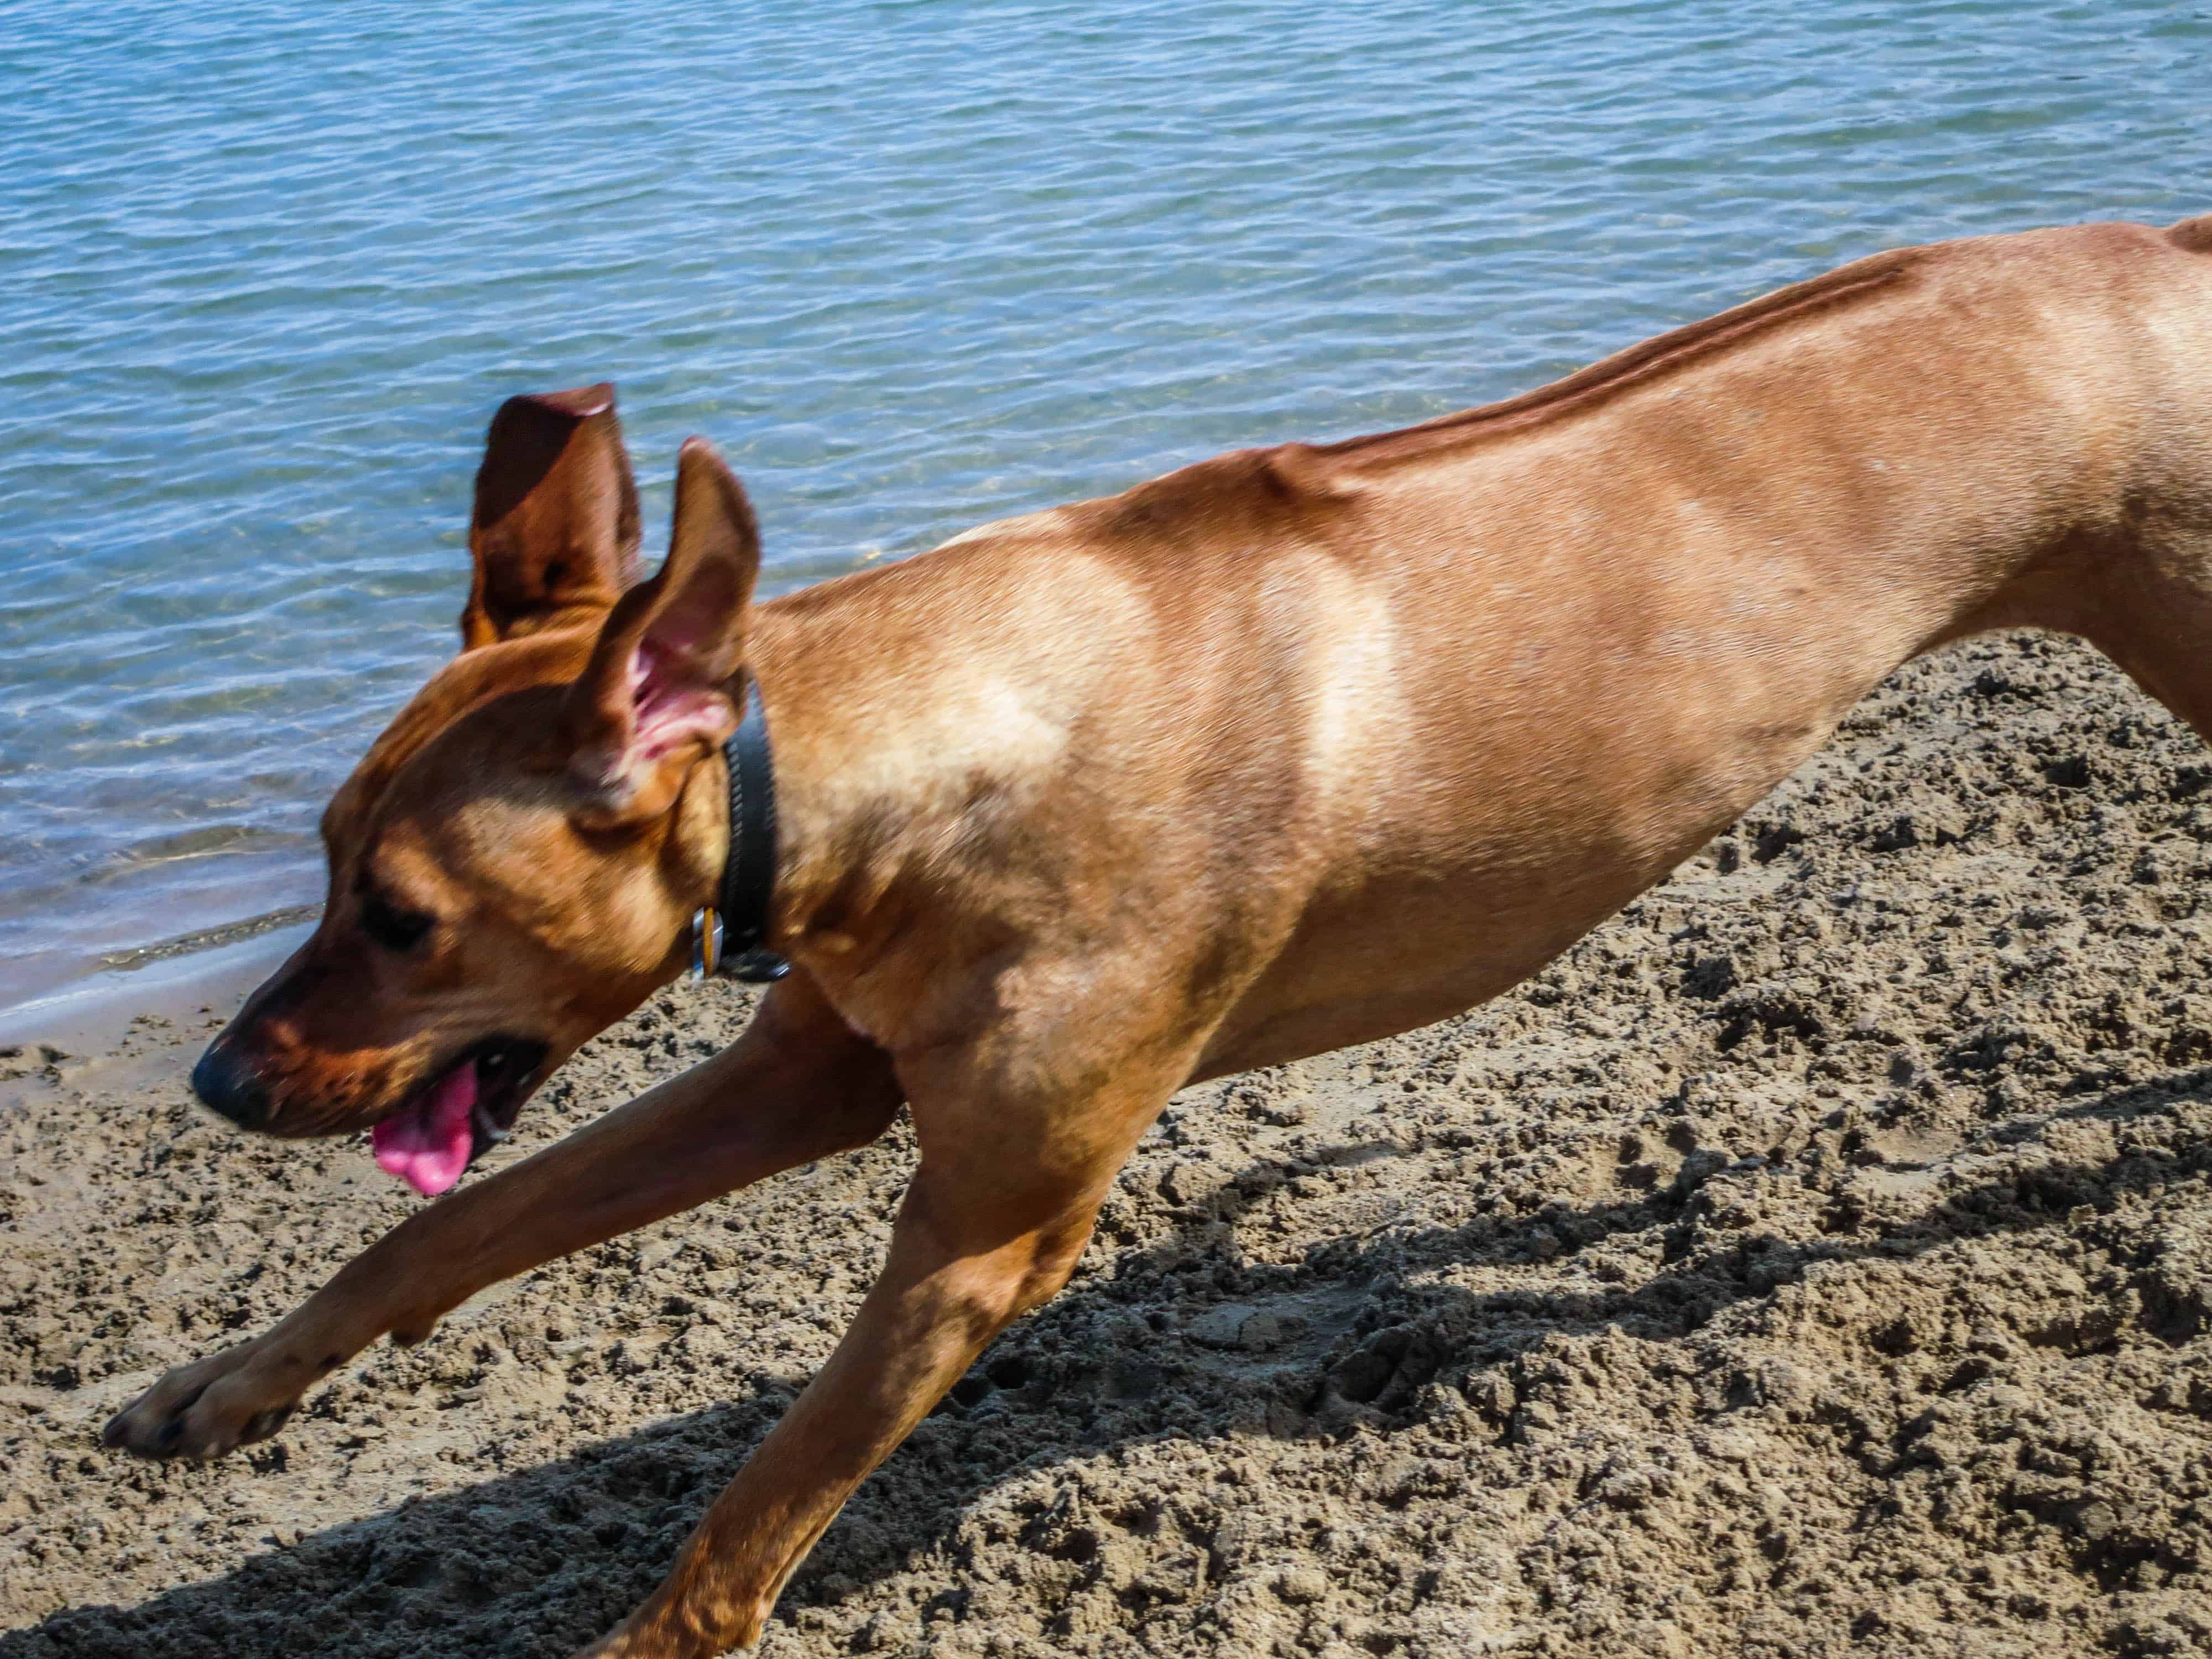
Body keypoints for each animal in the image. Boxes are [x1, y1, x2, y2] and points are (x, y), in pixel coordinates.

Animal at [108, 218, 2212, 1655]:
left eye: (403, 916)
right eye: (314, 860)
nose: (211, 1080)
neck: (936, 748)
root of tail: (2154, 237)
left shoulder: (986, 1237)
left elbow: (759, 1510)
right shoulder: (813, 1068)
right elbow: (452, 1225)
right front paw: (233, 1383)